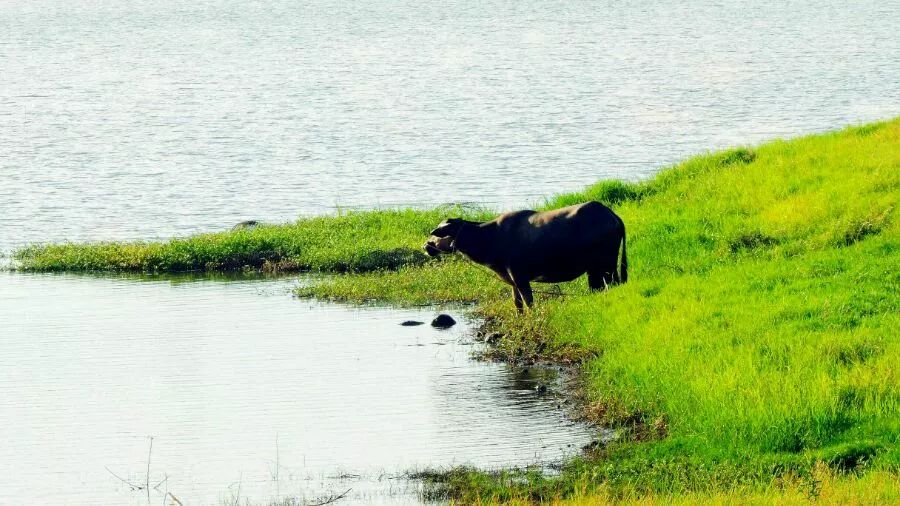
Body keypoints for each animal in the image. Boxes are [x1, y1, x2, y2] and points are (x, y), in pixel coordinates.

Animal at [424, 201, 624, 310]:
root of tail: (612, 216)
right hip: (599, 269)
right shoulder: (513, 281)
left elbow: (529, 303)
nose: (426, 245)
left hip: (605, 267)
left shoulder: (520, 278)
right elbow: (517, 303)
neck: (492, 237)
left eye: (438, 233)